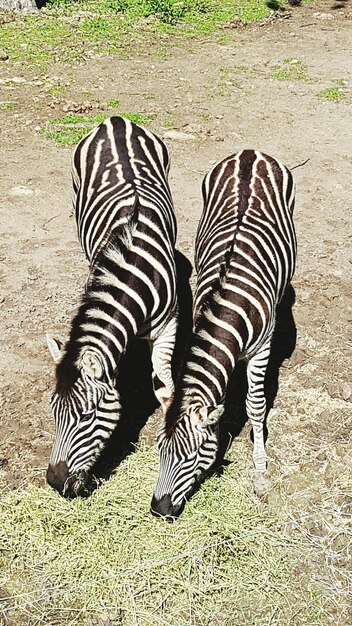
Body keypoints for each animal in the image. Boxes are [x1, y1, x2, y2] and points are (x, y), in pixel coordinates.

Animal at [46, 116, 179, 492]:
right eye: (53, 412)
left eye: (87, 416)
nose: (54, 481)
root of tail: (115, 121)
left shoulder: (170, 323)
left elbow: (166, 386)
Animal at [151, 147, 296, 516]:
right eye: (158, 450)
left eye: (190, 457)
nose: (158, 510)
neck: (228, 306)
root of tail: (250, 152)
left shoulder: (262, 348)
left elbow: (256, 405)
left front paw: (260, 472)